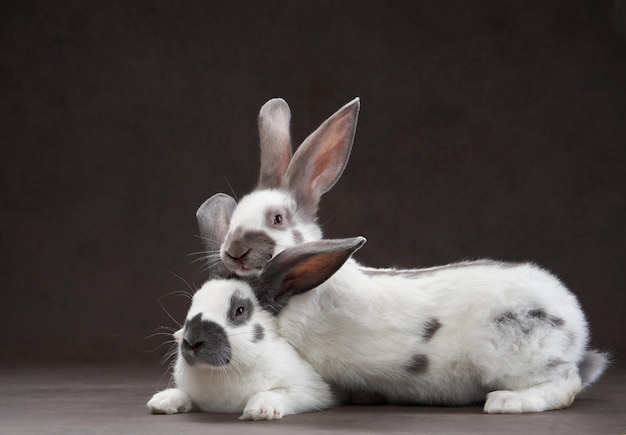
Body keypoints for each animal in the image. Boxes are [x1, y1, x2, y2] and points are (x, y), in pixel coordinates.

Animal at [148, 194, 366, 418]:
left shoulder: (313, 392)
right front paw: (162, 401)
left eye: (239, 311)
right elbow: (184, 394)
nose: (192, 341)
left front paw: (259, 410)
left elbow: (281, 394)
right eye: (194, 301)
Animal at [197, 97, 608, 414]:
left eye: (277, 219)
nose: (233, 252)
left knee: (565, 383)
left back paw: (507, 402)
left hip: (520, 357)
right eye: (235, 216)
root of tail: (576, 323)